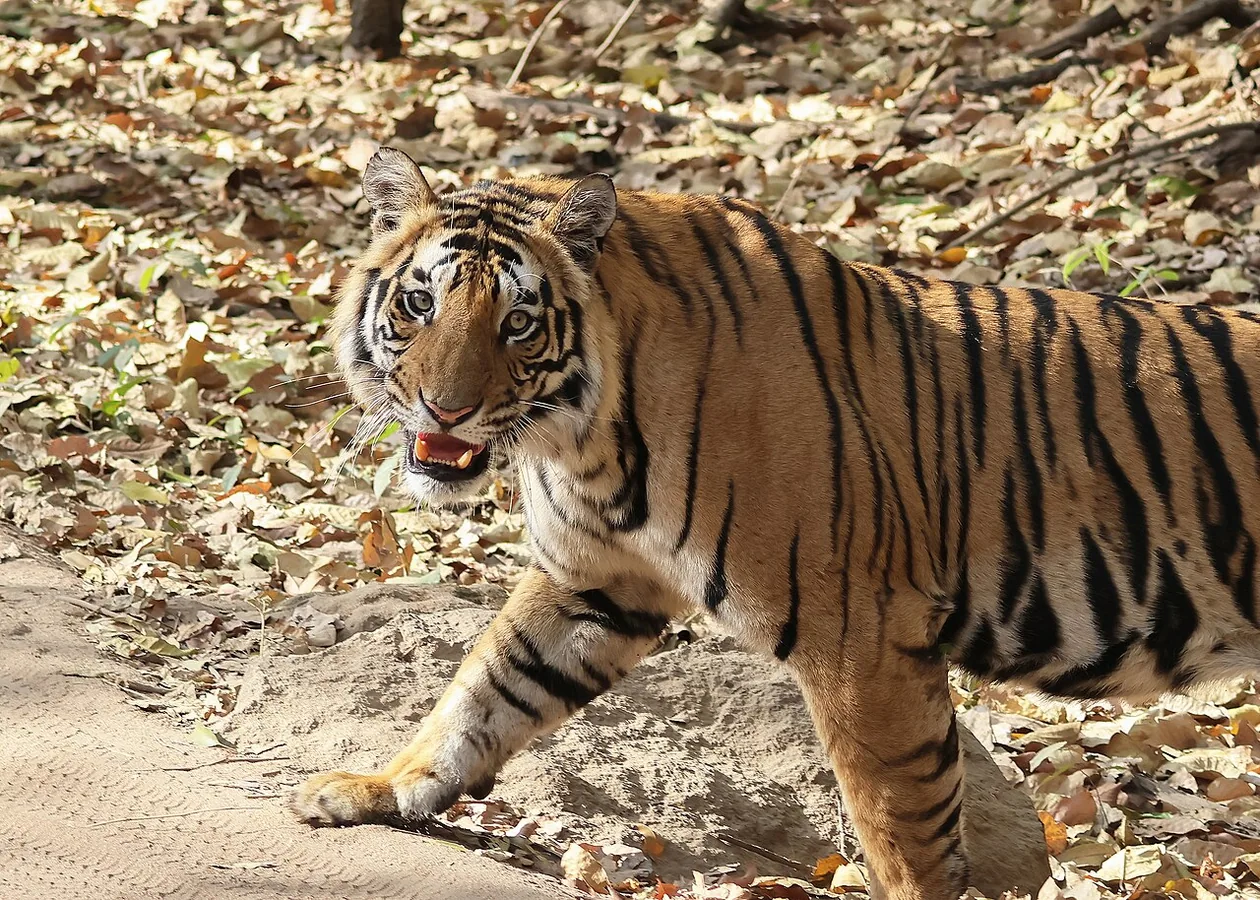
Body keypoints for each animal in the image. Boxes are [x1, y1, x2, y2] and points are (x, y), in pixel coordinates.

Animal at [290, 146, 1260, 900]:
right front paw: (378, 789)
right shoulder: (594, 582)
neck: (586, 441)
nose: (445, 410)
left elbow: (902, 828)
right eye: (420, 304)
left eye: (519, 322)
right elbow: (483, 690)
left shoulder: (863, 638)